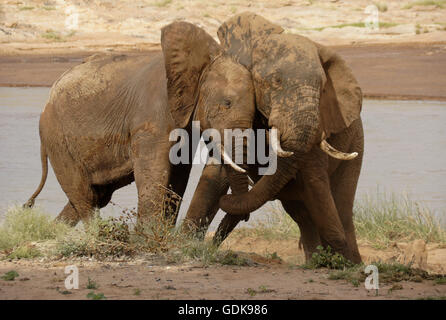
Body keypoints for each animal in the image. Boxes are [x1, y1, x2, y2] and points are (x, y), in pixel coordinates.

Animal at [183, 13, 364, 262]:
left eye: (323, 86)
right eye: (276, 81)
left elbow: (315, 181)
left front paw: (342, 261)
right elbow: (217, 172)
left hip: (356, 142)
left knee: (340, 207)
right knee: (303, 213)